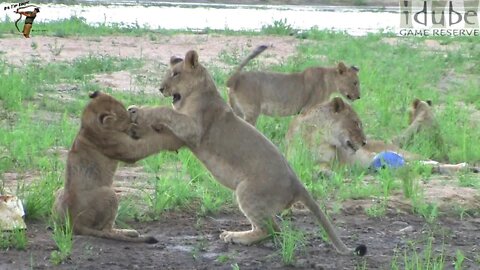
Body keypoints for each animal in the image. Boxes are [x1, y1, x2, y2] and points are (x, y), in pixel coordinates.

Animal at [53, 92, 184, 244]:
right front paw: (173, 138)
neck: (88, 127)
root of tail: (74, 223)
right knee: (106, 229)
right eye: (125, 118)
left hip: (59, 192)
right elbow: (151, 143)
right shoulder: (126, 148)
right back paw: (129, 232)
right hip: (110, 194)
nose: (131, 114)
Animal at [223, 44, 358, 125]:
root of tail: (235, 78)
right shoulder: (307, 109)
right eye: (355, 83)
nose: (358, 96)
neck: (329, 81)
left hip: (236, 110)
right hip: (251, 112)